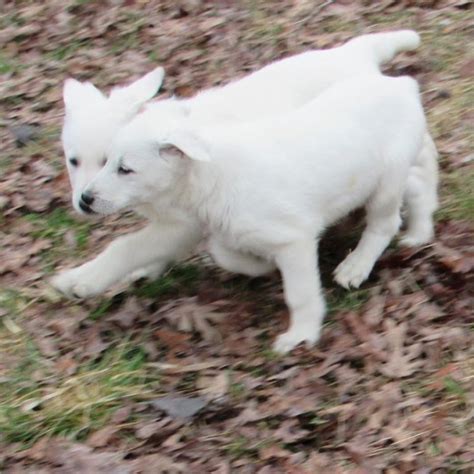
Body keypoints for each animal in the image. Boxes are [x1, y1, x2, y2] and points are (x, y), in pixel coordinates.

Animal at [52, 29, 436, 312]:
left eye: (113, 163)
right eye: (74, 161)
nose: (83, 201)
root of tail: (354, 52)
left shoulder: (188, 222)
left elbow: (126, 246)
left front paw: (83, 280)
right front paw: (147, 269)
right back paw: (419, 228)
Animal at [77, 75, 426, 352]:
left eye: (125, 169)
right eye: (107, 161)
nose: (84, 199)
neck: (212, 174)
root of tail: (402, 84)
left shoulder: (294, 240)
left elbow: (299, 294)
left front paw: (301, 335)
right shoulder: (227, 231)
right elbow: (225, 254)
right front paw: (262, 266)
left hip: (386, 182)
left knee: (385, 223)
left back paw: (356, 265)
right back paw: (417, 233)